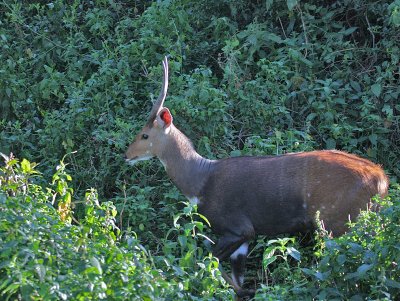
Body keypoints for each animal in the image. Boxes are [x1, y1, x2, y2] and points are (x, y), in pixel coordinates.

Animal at [125, 56, 388, 298]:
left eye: (145, 135)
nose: (126, 154)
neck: (202, 180)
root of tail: (380, 179)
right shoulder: (242, 241)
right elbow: (233, 275)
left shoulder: (239, 230)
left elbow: (208, 261)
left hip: (335, 224)